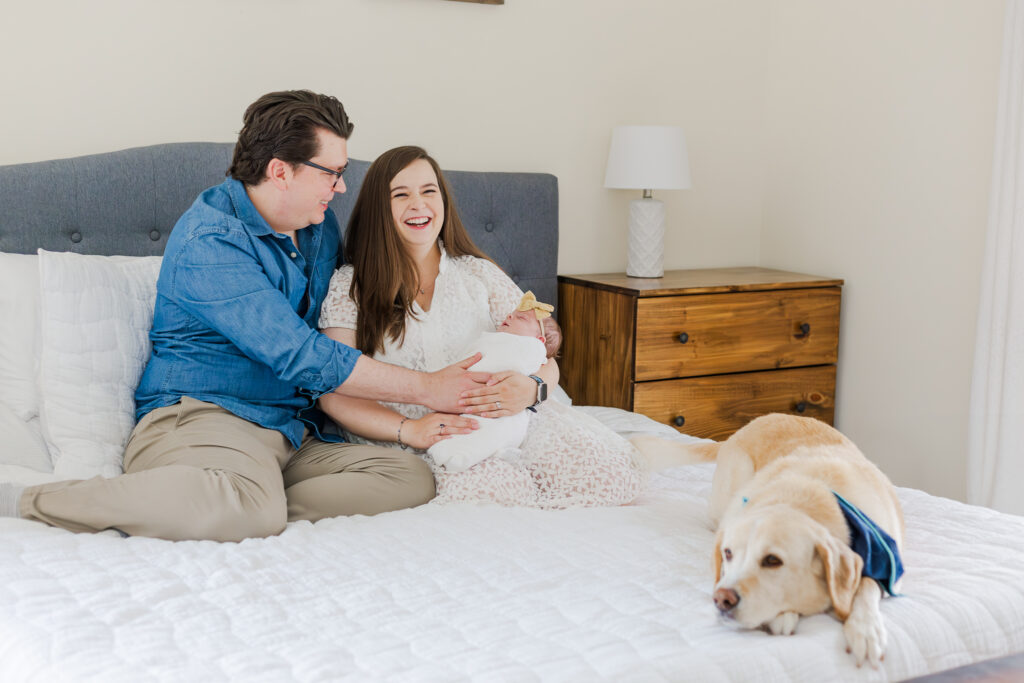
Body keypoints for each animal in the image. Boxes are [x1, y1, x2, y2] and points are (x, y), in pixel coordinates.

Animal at [630, 413, 905, 671]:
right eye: (728, 554)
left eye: (773, 561)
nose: (721, 599)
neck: (812, 495)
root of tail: (743, 429)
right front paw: (783, 617)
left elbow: (867, 584)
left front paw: (866, 629)